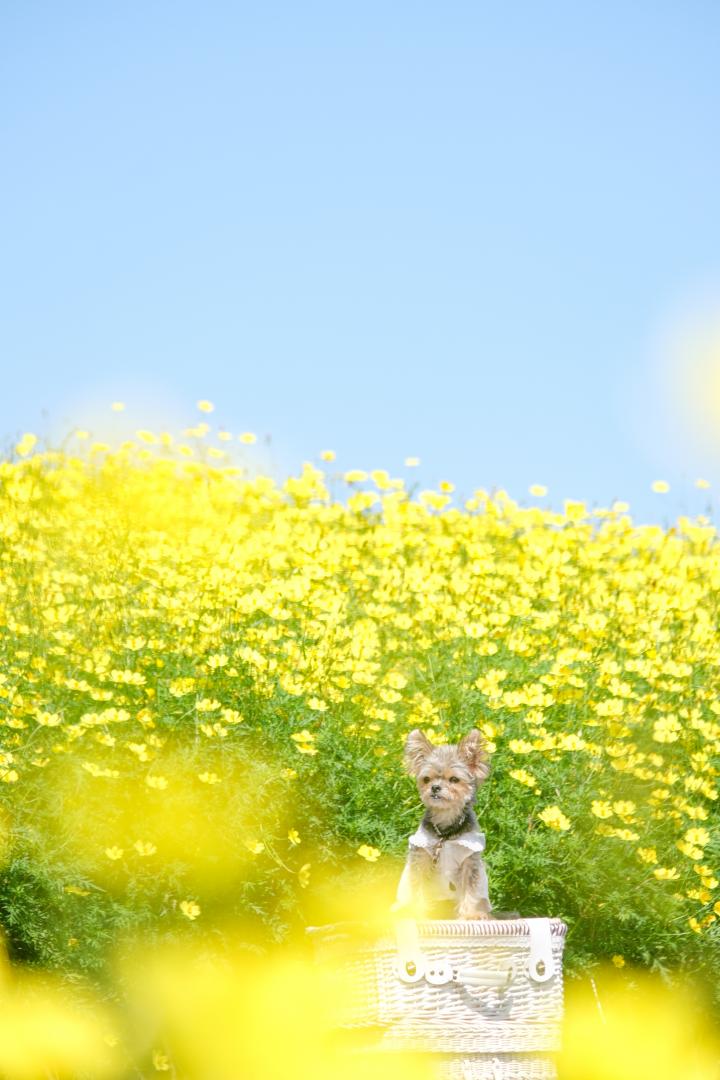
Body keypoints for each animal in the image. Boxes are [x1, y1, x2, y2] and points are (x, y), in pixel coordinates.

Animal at [395, 725, 496, 920]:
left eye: (454, 780)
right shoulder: (421, 858)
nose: (435, 787)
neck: (446, 834)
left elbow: (471, 890)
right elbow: (417, 886)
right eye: (426, 779)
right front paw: (416, 912)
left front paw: (472, 914)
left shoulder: (470, 862)